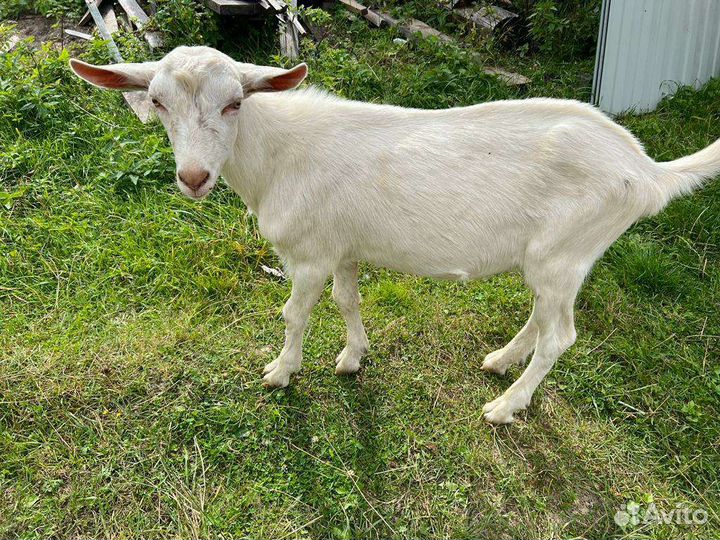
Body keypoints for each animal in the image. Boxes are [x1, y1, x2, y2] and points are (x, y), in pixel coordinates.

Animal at [70, 46, 720, 424]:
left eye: (234, 104)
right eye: (156, 102)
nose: (194, 177)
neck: (277, 157)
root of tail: (645, 171)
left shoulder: (308, 253)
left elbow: (294, 313)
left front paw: (281, 371)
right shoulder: (342, 247)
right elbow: (346, 300)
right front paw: (352, 358)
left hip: (565, 251)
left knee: (561, 336)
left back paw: (504, 406)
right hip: (557, 259)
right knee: (542, 318)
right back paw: (500, 362)